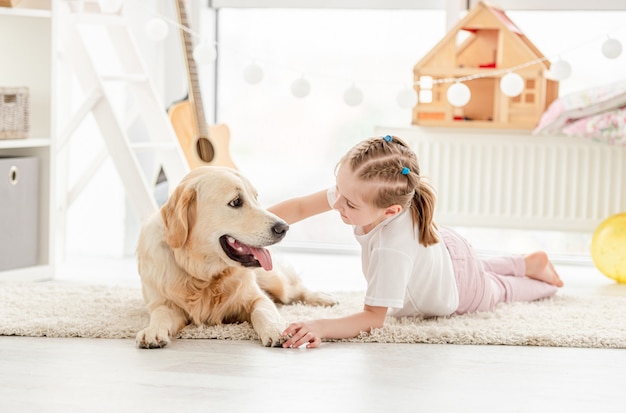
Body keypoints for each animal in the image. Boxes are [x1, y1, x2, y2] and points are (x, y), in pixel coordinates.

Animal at [134, 164, 334, 348]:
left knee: (295, 289)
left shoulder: (257, 297)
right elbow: (160, 314)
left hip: (275, 281)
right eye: (236, 202)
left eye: (255, 197)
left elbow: (264, 311)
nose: (283, 227)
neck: (204, 276)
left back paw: (323, 298)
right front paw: (152, 331)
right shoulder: (164, 303)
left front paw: (275, 330)